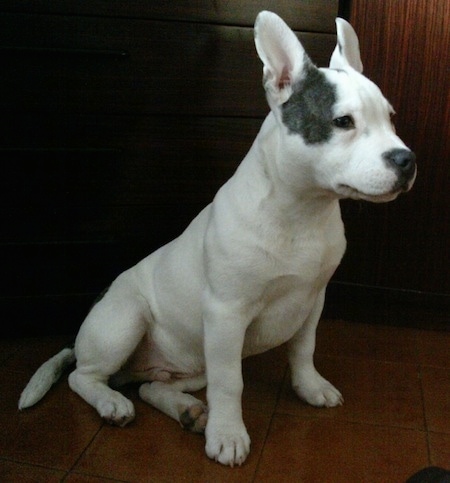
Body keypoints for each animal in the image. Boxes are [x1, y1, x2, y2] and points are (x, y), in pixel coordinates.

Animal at [20, 11, 414, 468]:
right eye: (343, 122)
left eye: (390, 117)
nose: (406, 159)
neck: (301, 210)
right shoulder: (226, 315)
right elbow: (230, 384)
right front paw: (227, 436)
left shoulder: (313, 300)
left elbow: (303, 349)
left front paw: (310, 387)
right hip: (124, 319)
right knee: (84, 377)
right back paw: (112, 403)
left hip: (189, 365)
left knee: (151, 385)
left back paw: (186, 410)